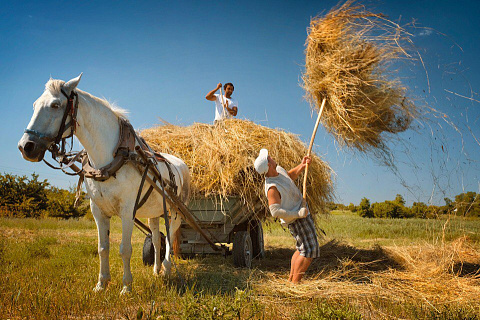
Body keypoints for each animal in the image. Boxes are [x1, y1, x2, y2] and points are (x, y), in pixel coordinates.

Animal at [17, 74, 189, 294]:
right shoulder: (98, 211)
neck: (111, 158)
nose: (26, 147)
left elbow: (125, 249)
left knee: (169, 237)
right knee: (158, 239)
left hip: (174, 212)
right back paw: (157, 269)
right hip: (155, 211)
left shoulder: (127, 211)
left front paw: (126, 287)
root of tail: (179, 163)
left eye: (55, 105)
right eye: (34, 104)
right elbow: (103, 248)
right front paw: (101, 284)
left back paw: (167, 269)